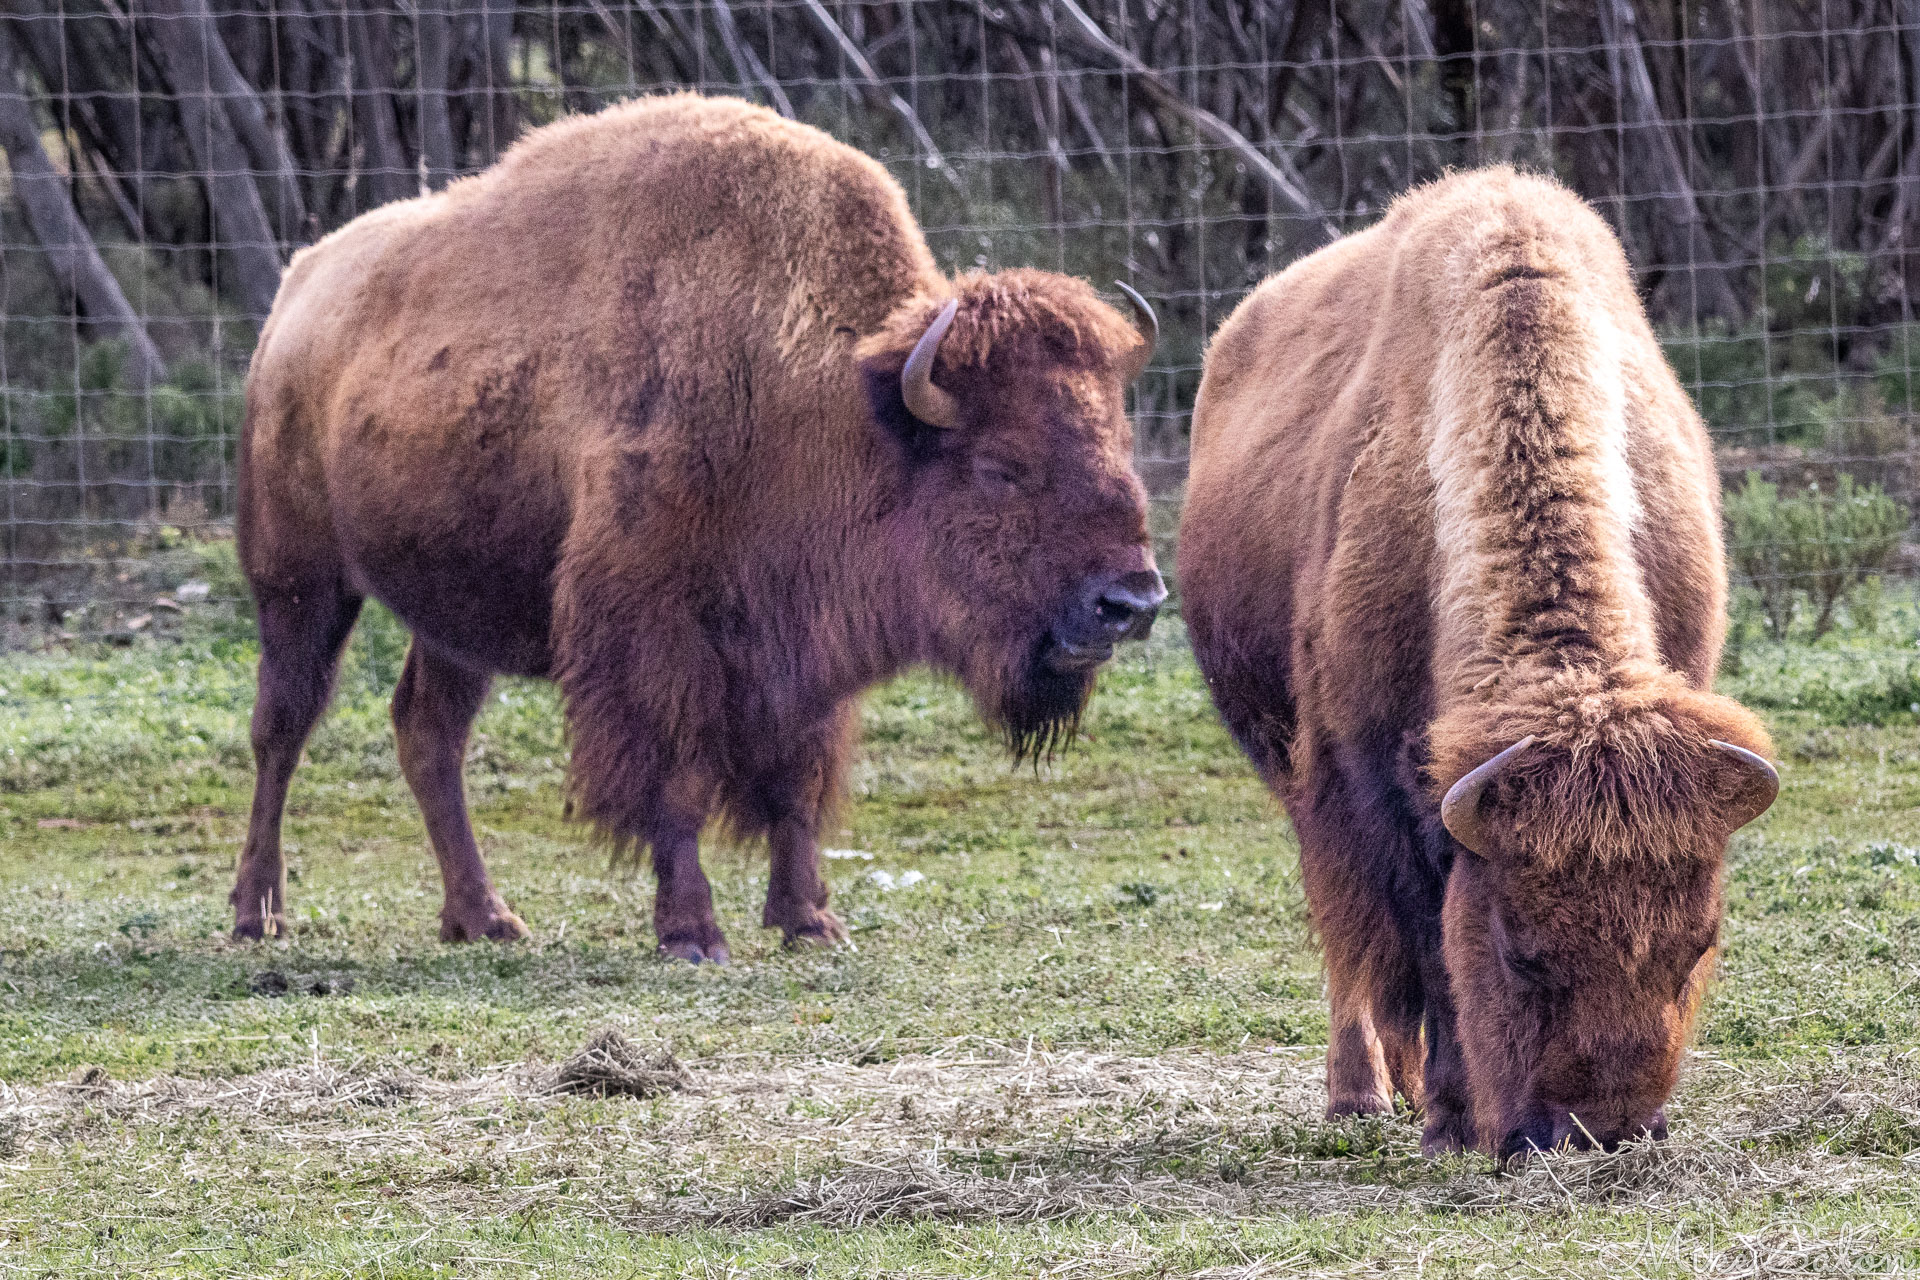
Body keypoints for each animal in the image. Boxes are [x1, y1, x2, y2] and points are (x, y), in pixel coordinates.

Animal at [232, 93, 1164, 962]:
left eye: (1119, 441)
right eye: (1001, 466)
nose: (1132, 602)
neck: (826, 405)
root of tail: (295, 292)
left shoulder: (804, 654)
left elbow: (797, 784)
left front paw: (810, 921)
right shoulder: (652, 635)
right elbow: (675, 781)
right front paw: (692, 933)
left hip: (455, 610)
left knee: (429, 733)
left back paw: (484, 919)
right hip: (299, 581)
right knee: (282, 727)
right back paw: (258, 913)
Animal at [1179, 168, 1779, 1159]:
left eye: (1698, 945)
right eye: (1520, 953)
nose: (1601, 1133)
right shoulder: (1379, 790)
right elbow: (1423, 946)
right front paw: (1452, 1121)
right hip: (1288, 766)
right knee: (1351, 944)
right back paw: (1366, 1097)